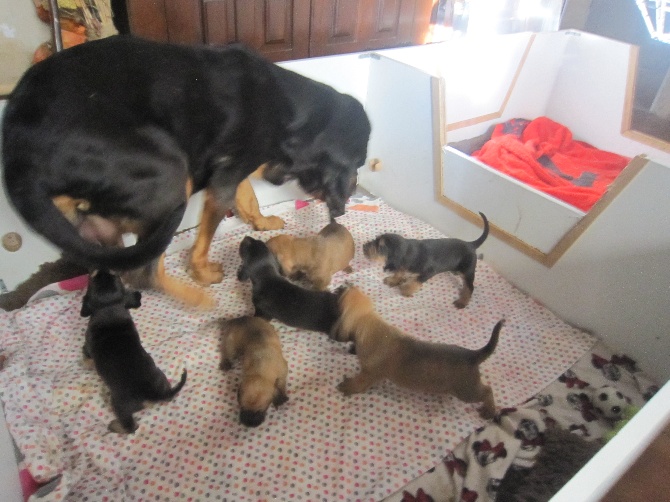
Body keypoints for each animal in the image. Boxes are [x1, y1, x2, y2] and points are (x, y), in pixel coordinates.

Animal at [1, 35, 372, 306]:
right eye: (355, 164)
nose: (343, 208)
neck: (294, 111)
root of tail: (18, 153)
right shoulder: (225, 179)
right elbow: (204, 239)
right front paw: (203, 274)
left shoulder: (232, 168)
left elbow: (248, 199)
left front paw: (262, 221)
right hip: (172, 176)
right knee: (145, 270)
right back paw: (198, 300)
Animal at [81, 270, 188, 432]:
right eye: (116, 275)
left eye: (91, 279)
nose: (101, 269)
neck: (109, 309)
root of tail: (153, 394)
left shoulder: (88, 344)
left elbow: (86, 354)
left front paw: (85, 362)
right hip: (160, 378)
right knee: (168, 395)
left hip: (119, 404)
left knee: (130, 427)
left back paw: (114, 425)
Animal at [330, 286, 504, 420]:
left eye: (341, 296)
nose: (342, 285)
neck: (369, 323)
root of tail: (473, 356)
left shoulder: (368, 375)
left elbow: (358, 383)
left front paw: (348, 386)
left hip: (466, 391)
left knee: (487, 391)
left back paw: (489, 410)